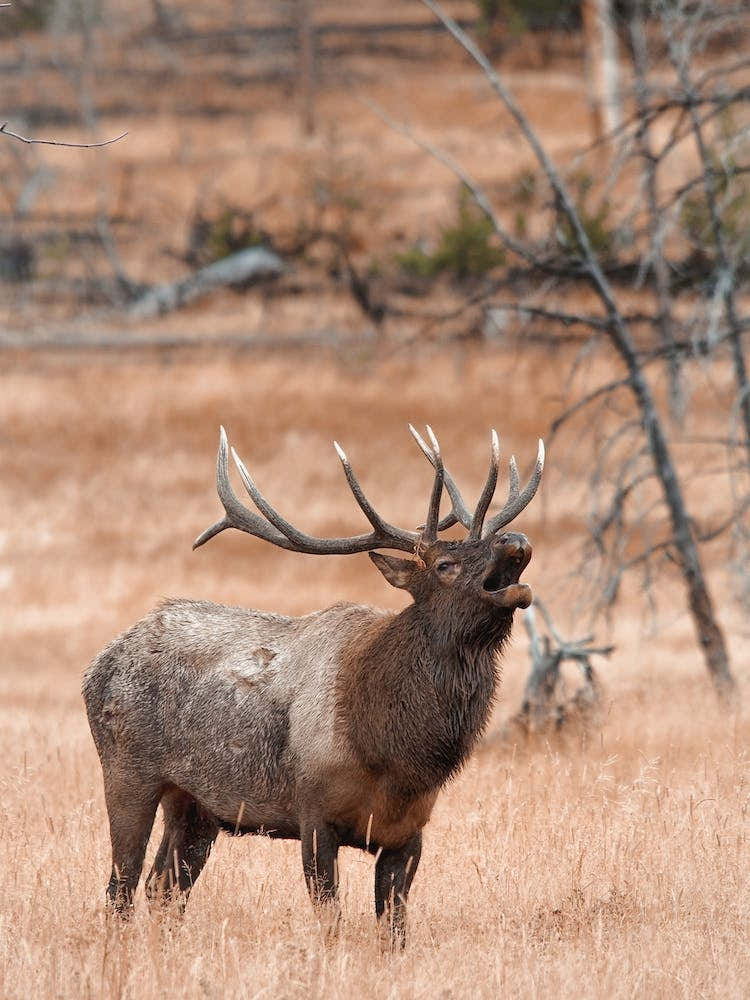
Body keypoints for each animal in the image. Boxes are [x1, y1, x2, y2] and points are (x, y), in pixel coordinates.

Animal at [83, 424, 544, 947]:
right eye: (445, 564)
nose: (516, 540)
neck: (395, 754)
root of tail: (98, 664)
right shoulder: (314, 813)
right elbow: (331, 921)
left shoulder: (410, 831)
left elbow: (394, 930)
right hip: (127, 770)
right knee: (121, 885)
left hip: (195, 803)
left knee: (163, 887)